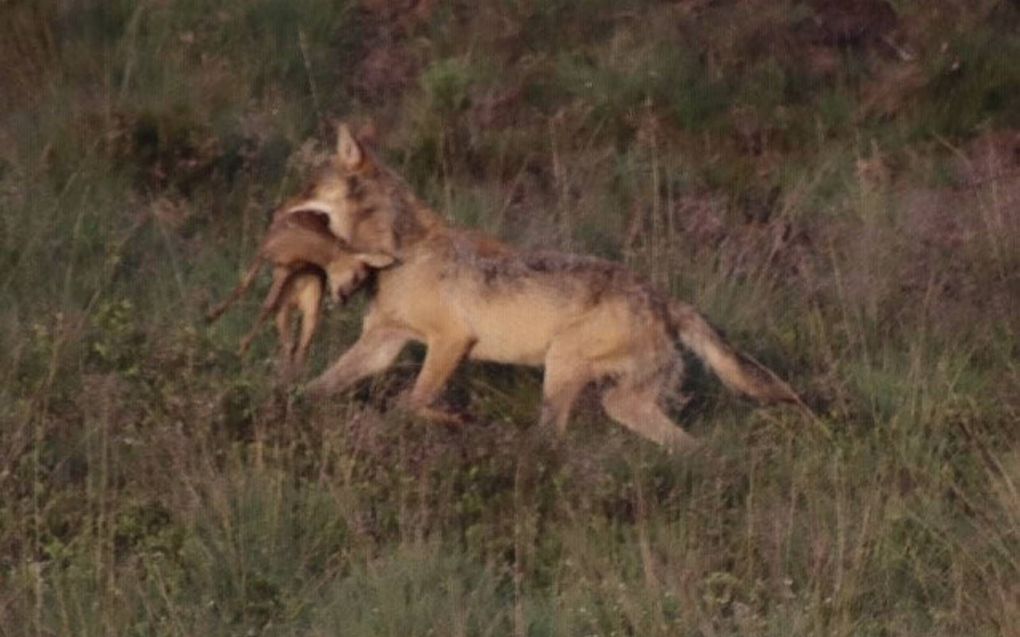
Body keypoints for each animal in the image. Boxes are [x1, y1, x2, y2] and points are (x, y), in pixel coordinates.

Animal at [207, 208, 393, 377]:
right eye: (357, 277)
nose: (343, 299)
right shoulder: (273, 260)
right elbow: (249, 289)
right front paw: (215, 318)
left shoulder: (285, 268)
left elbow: (266, 304)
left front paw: (241, 347)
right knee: (292, 342)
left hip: (307, 307)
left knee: (297, 344)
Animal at [291, 126, 799, 450]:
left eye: (308, 188)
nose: (280, 207)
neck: (403, 251)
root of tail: (662, 298)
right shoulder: (384, 343)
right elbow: (321, 385)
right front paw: (285, 401)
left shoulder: (451, 340)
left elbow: (411, 402)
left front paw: (453, 421)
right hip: (620, 401)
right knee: (689, 446)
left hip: (563, 369)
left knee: (552, 438)